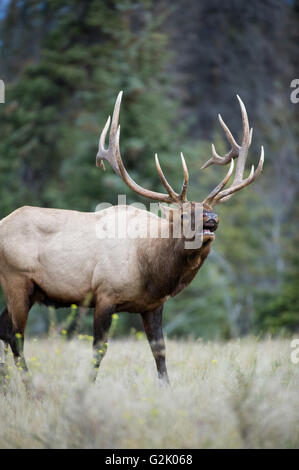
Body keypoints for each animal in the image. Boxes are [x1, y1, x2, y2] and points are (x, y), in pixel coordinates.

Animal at [0, 92, 264, 386]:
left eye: (211, 210)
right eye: (184, 214)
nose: (212, 219)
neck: (151, 268)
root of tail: (2, 222)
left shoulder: (153, 305)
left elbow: (160, 351)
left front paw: (166, 387)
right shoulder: (104, 294)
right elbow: (99, 349)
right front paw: (87, 386)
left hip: (30, 290)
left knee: (4, 330)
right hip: (16, 281)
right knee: (15, 336)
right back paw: (29, 386)